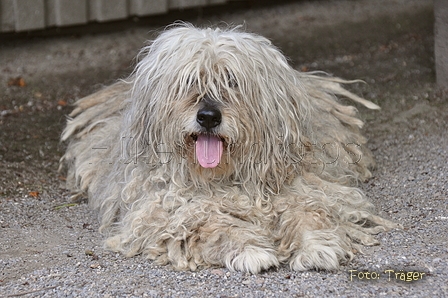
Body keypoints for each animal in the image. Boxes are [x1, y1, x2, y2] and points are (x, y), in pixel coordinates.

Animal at [61, 23, 400, 274]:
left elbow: (309, 214)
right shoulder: (169, 211)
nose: (209, 116)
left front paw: (318, 247)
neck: (227, 177)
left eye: (232, 81)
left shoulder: (304, 188)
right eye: (188, 81)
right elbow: (217, 226)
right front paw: (251, 250)